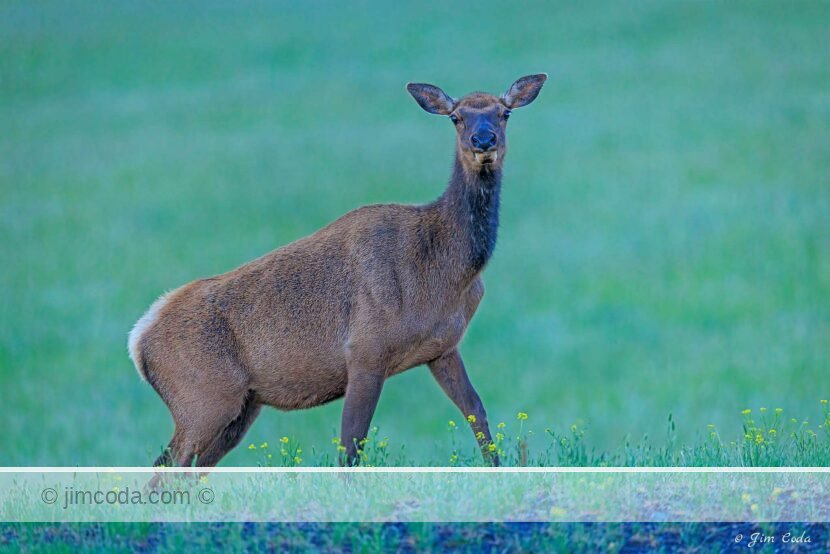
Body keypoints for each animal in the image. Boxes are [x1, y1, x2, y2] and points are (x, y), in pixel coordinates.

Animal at [128, 74, 547, 470]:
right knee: (167, 465)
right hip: (201, 400)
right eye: (456, 117)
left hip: (238, 408)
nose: (483, 139)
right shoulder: (365, 349)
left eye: (504, 113)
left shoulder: (443, 347)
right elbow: (351, 444)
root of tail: (139, 339)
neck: (445, 271)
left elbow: (477, 414)